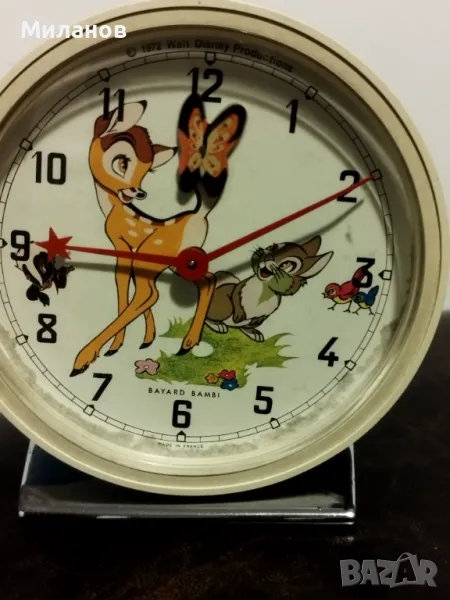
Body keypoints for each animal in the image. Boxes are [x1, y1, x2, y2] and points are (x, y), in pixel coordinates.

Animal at [70, 93, 247, 376]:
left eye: (147, 170)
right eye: (122, 162)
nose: (138, 192)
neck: (111, 206)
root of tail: (200, 215)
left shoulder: (124, 246)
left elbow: (134, 291)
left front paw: (103, 351)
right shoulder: (125, 250)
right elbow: (123, 286)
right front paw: (133, 342)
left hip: (158, 255)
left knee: (151, 292)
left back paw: (83, 357)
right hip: (179, 262)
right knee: (206, 280)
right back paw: (188, 343)